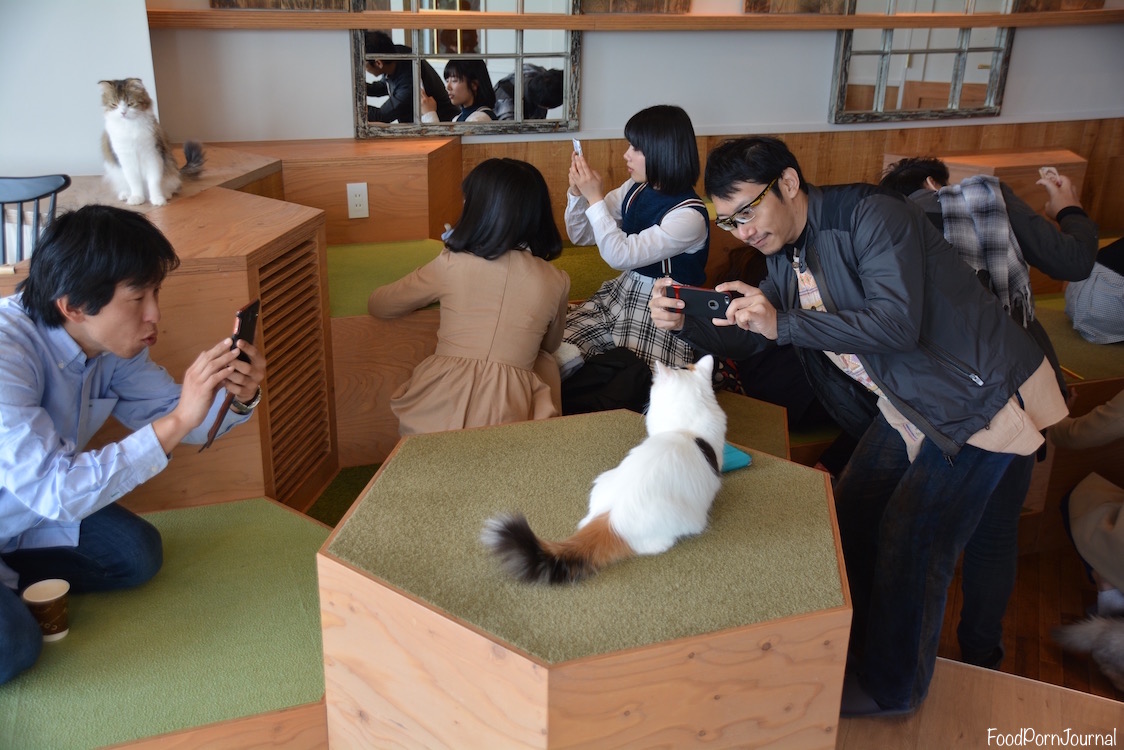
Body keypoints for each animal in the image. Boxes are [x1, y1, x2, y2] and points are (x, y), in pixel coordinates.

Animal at [99, 78, 204, 206]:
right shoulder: (126, 160)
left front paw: (157, 199)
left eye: (130, 104)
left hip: (170, 170)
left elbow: (154, 181)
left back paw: (166, 194)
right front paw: (137, 198)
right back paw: (126, 194)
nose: (123, 113)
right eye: (114, 105)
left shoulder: (153, 156)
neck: (130, 127)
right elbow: (134, 182)